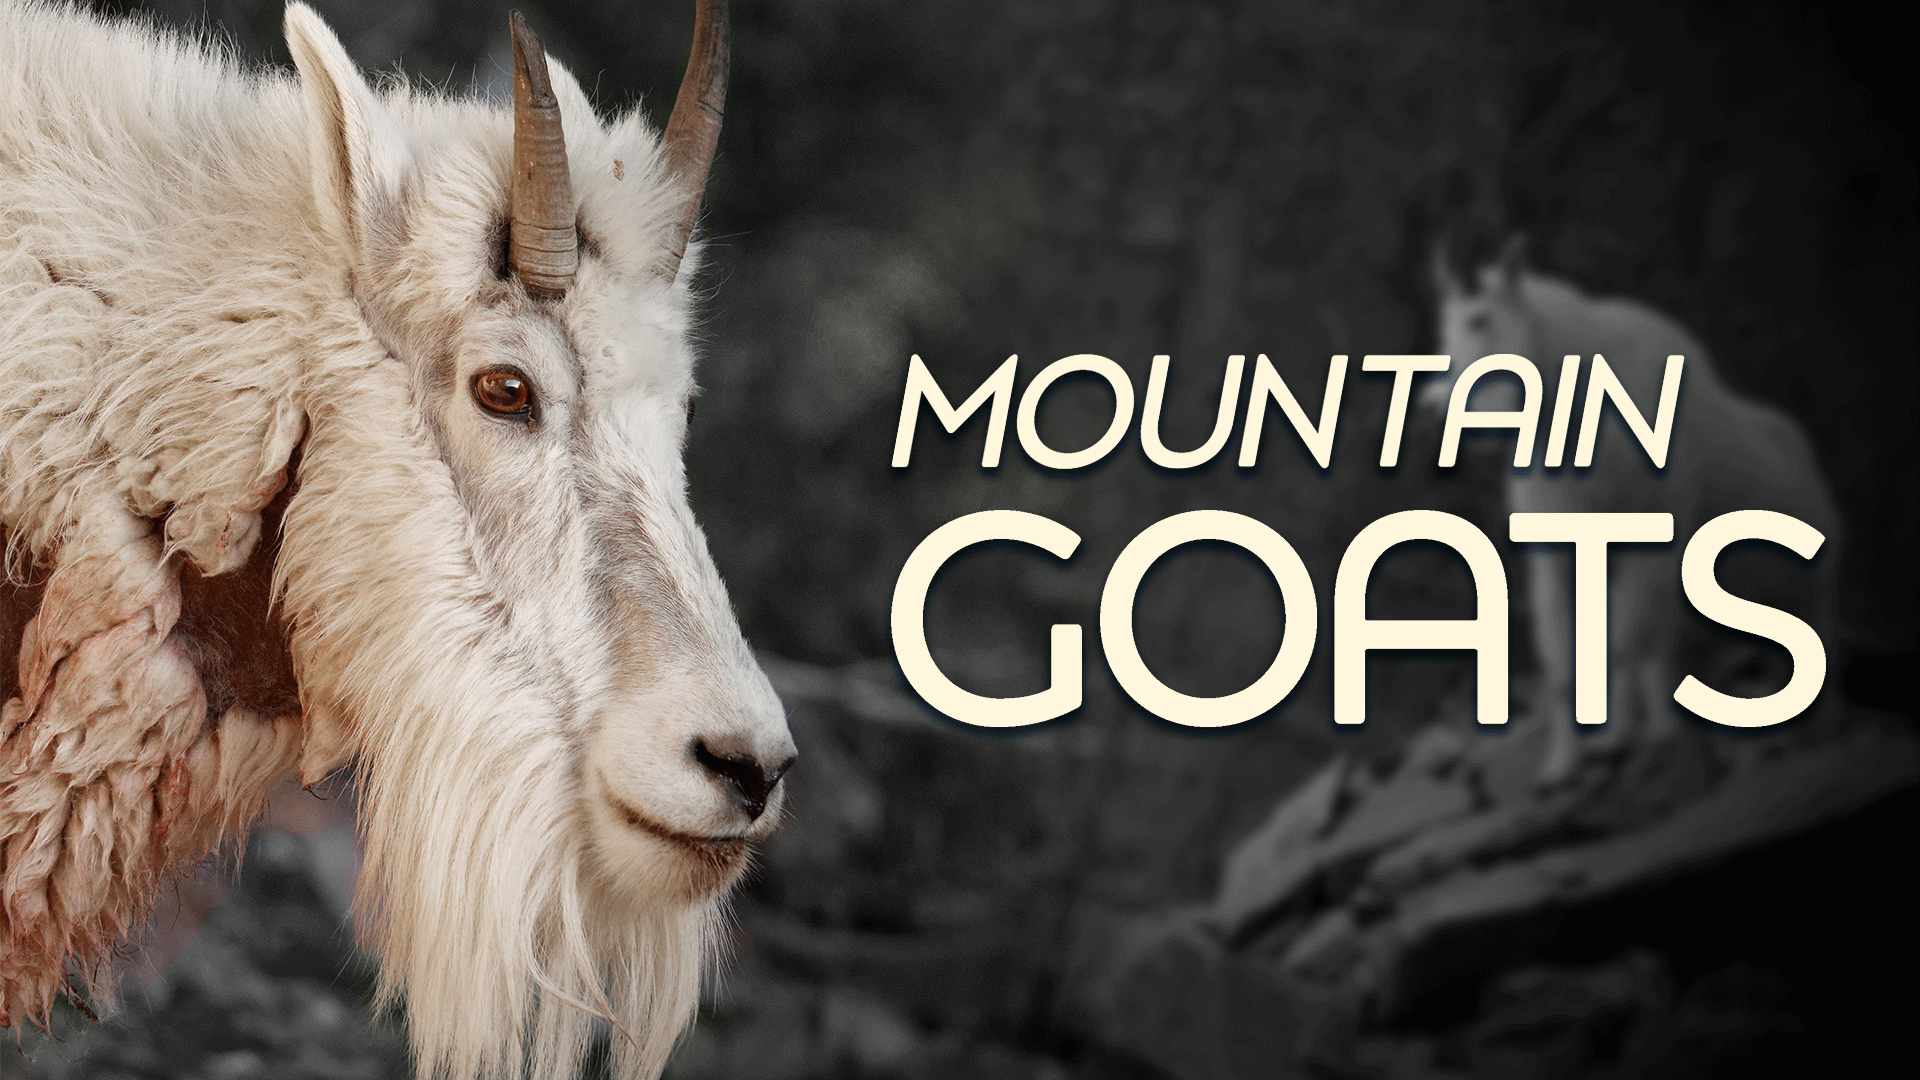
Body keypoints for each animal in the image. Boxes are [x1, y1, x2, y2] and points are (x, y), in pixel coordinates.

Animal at [1424, 238, 1841, 784]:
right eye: (1444, 325)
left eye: (1480, 319)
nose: (1431, 408)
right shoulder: (1562, 556)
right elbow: (1566, 665)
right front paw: (1561, 768)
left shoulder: (1648, 545)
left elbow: (1622, 648)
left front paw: (1617, 743)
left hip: (1810, 588)